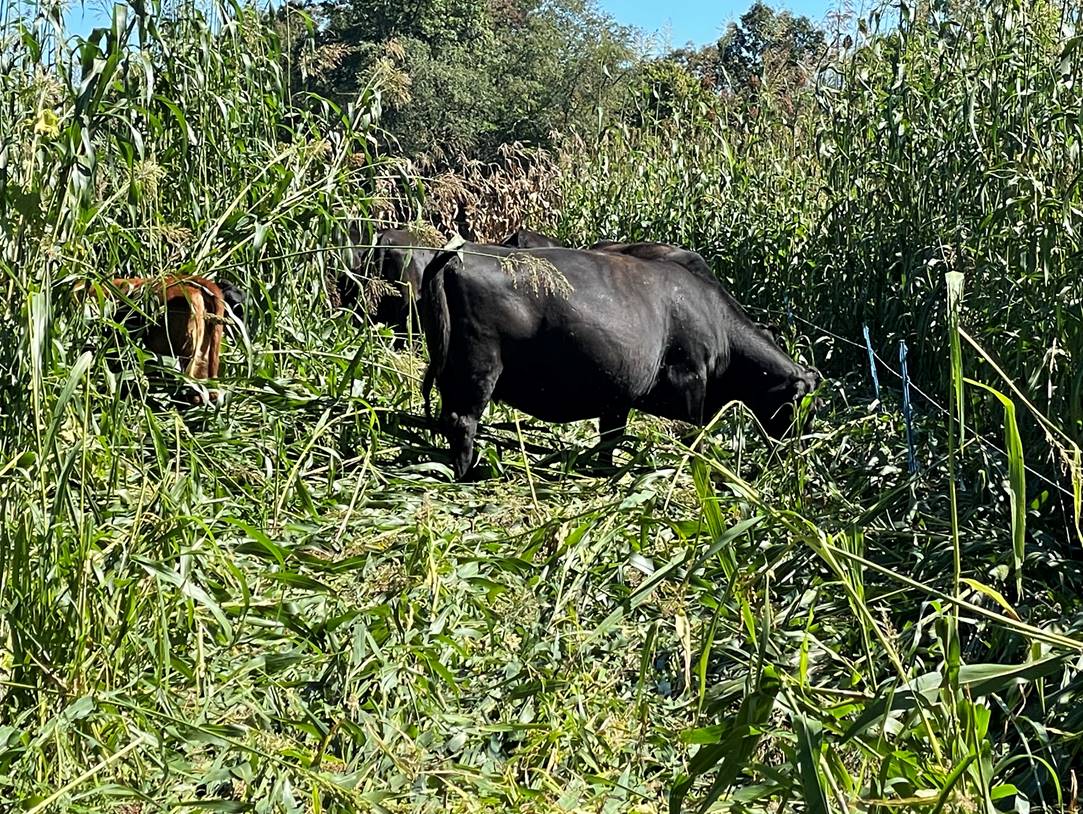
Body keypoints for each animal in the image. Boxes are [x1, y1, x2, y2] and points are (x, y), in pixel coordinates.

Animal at [420, 243, 821, 479]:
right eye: (799, 407)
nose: (796, 459)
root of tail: (457, 253)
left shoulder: (617, 397)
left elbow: (610, 440)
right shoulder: (690, 383)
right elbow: (694, 439)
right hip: (479, 369)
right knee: (462, 422)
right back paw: (468, 474)